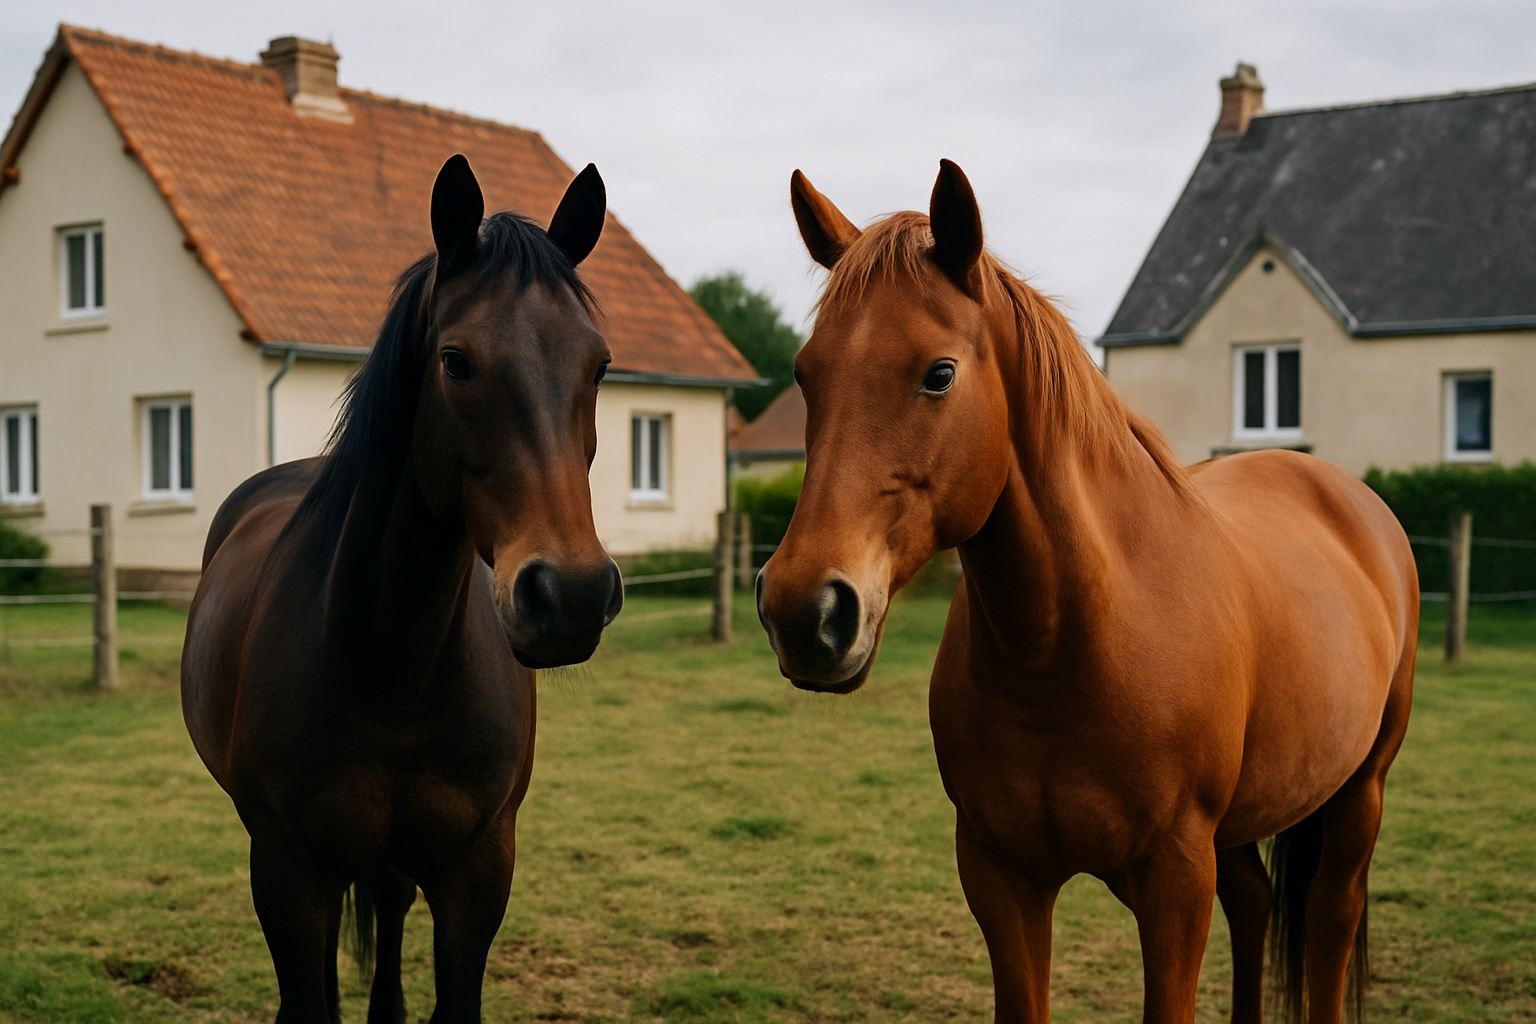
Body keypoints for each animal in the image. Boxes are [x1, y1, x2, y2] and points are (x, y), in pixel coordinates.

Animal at [181, 154, 623, 1024]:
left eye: (600, 365)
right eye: (456, 361)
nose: (571, 595)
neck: (396, 666)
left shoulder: (478, 870)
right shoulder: (286, 869)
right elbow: (308, 997)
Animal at [756, 161, 1417, 1024]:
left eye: (939, 374)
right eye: (807, 375)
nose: (804, 611)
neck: (1071, 642)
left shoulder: (1175, 883)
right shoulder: (1000, 876)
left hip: (1359, 793)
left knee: (1330, 922)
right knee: (1256, 905)